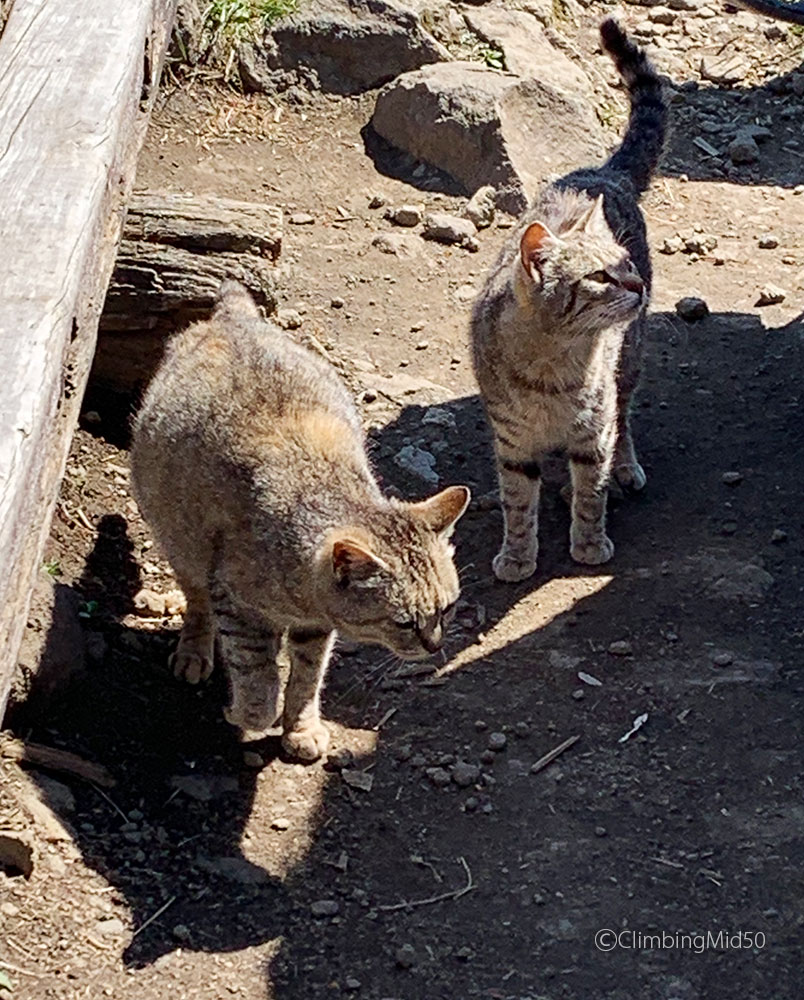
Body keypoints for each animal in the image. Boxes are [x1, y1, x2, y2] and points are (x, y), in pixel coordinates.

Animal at [130, 282, 472, 756]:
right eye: (402, 622)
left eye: (448, 608)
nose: (434, 645)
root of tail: (234, 317)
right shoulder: (236, 603)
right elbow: (257, 682)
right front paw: (248, 711)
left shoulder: (315, 628)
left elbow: (308, 676)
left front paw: (301, 726)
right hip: (181, 542)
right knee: (196, 600)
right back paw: (195, 651)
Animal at [472, 19, 664, 584]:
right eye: (600, 275)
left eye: (626, 263)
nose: (637, 286)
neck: (552, 366)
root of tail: (603, 171)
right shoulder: (512, 442)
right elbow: (516, 502)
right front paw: (517, 554)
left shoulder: (593, 428)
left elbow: (591, 492)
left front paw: (589, 541)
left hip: (630, 360)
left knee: (624, 417)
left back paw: (623, 466)